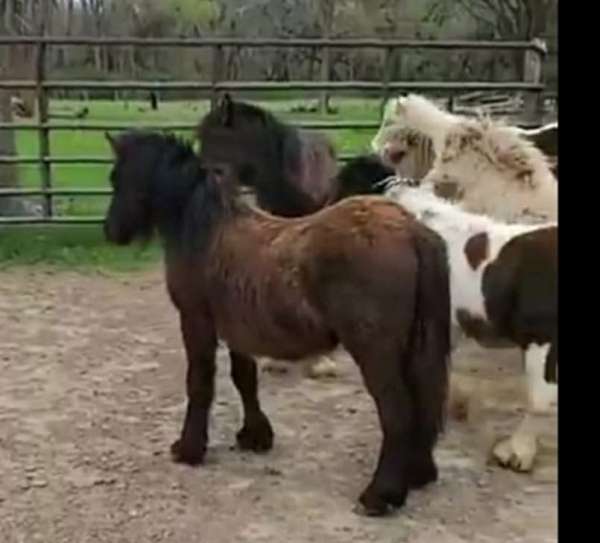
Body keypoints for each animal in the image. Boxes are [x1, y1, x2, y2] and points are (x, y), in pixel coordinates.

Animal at [103, 130, 450, 516]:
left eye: (118, 178)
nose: (111, 231)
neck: (206, 229)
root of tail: (410, 230)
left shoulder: (196, 321)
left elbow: (199, 384)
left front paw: (189, 448)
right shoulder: (236, 328)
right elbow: (244, 379)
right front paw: (255, 436)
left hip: (376, 353)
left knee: (397, 413)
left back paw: (380, 494)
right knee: (423, 404)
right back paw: (416, 475)